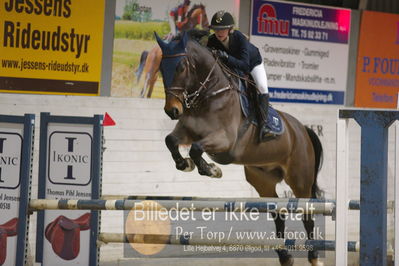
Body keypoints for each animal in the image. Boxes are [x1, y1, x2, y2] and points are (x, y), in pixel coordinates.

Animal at [155, 31, 324, 266]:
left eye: (181, 67)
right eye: (161, 68)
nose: (172, 110)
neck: (210, 94)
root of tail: (302, 130)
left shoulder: (224, 140)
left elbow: (196, 148)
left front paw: (211, 170)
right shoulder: (186, 131)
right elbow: (170, 141)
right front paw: (185, 164)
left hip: (300, 179)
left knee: (307, 215)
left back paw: (314, 257)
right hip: (262, 179)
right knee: (277, 213)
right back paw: (285, 256)